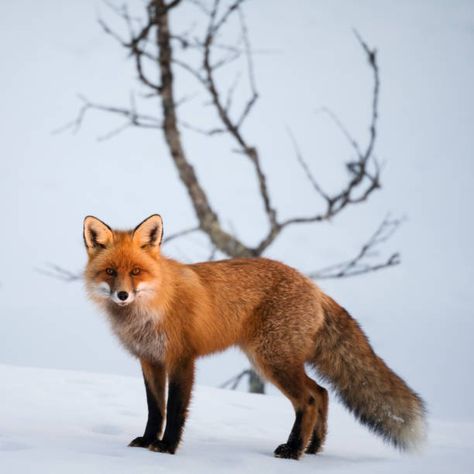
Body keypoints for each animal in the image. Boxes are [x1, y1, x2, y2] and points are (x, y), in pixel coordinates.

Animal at [84, 215, 426, 460]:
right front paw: (147, 442)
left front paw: (167, 448)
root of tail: (314, 287)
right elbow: (155, 409)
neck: (152, 308)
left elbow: (176, 409)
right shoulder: (150, 360)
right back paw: (313, 448)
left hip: (272, 361)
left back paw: (292, 451)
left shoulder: (182, 359)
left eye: (136, 271)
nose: (123, 295)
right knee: (322, 393)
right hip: (275, 360)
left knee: (309, 400)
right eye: (111, 271)